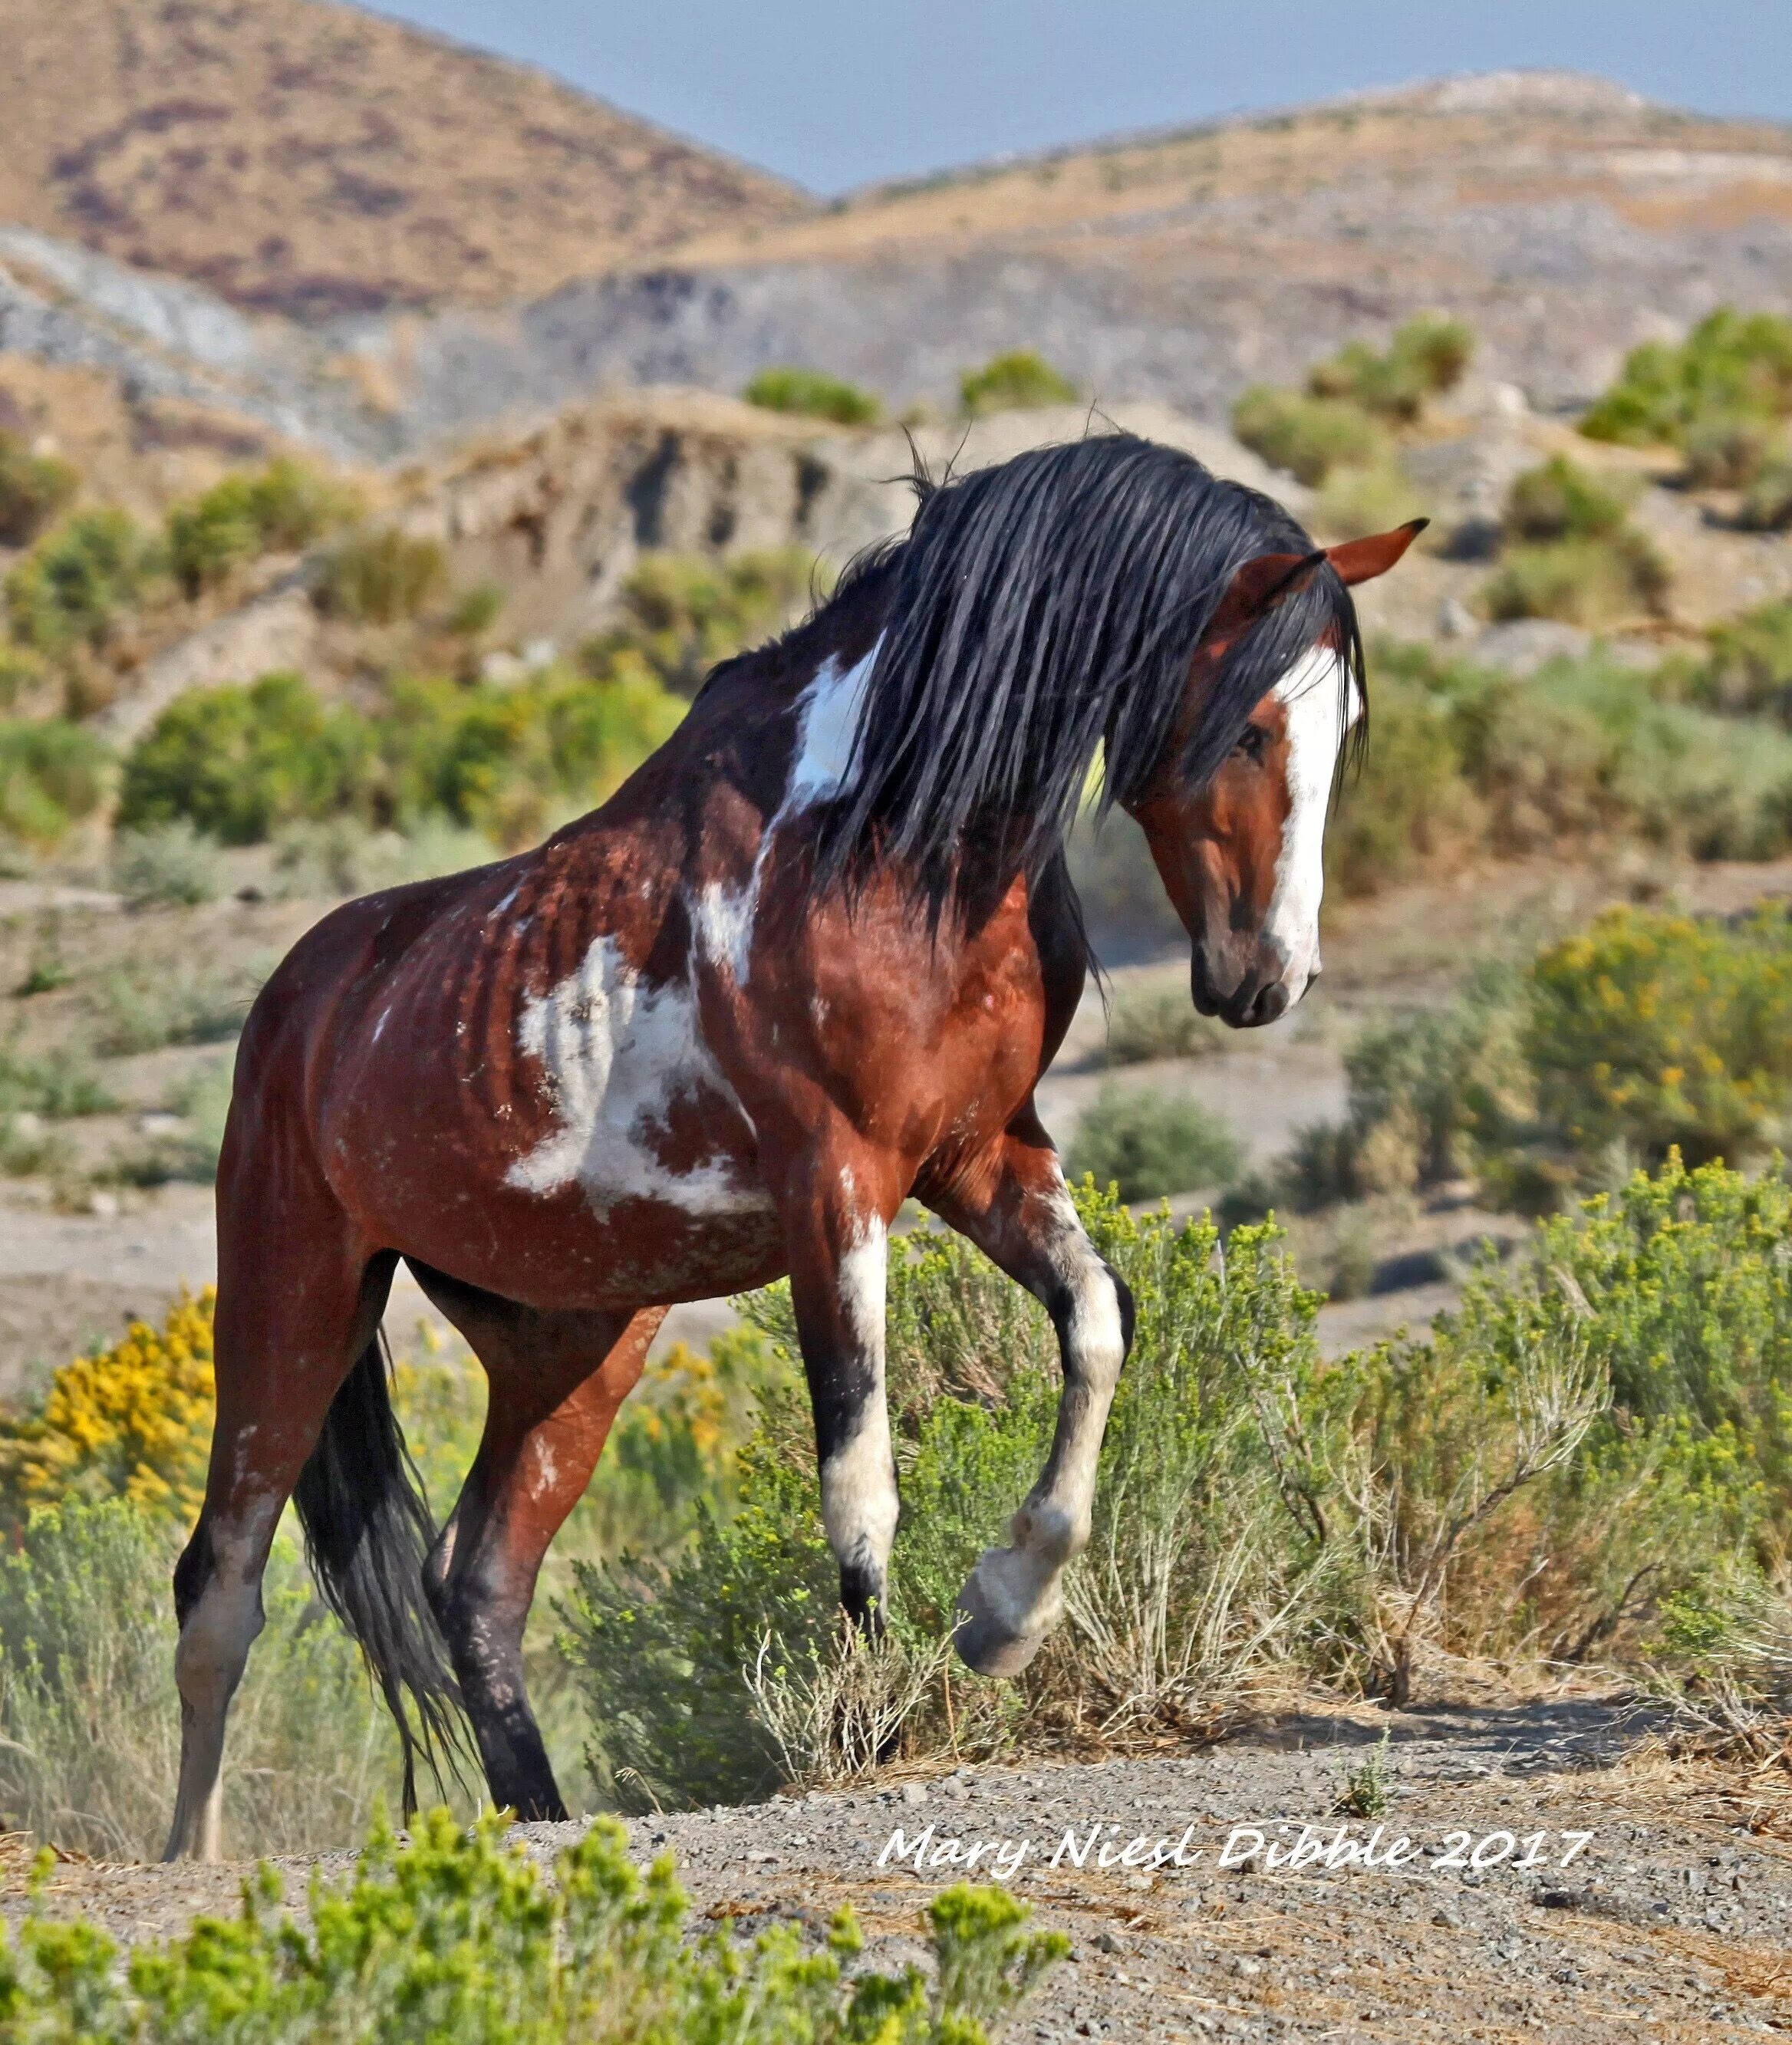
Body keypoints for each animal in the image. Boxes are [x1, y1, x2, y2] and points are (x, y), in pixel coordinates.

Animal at [172, 440, 1431, 1865]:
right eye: (1254, 726)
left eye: (1342, 727)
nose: (1270, 976)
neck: (894, 844)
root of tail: (298, 999)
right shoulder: (839, 1185)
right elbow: (860, 1486)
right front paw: (883, 1722)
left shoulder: (979, 1157)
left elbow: (1099, 1321)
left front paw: (1007, 1613)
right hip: (295, 1291)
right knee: (224, 1587)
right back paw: (186, 1852)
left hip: (572, 1340)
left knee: (476, 1581)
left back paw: (542, 1814)